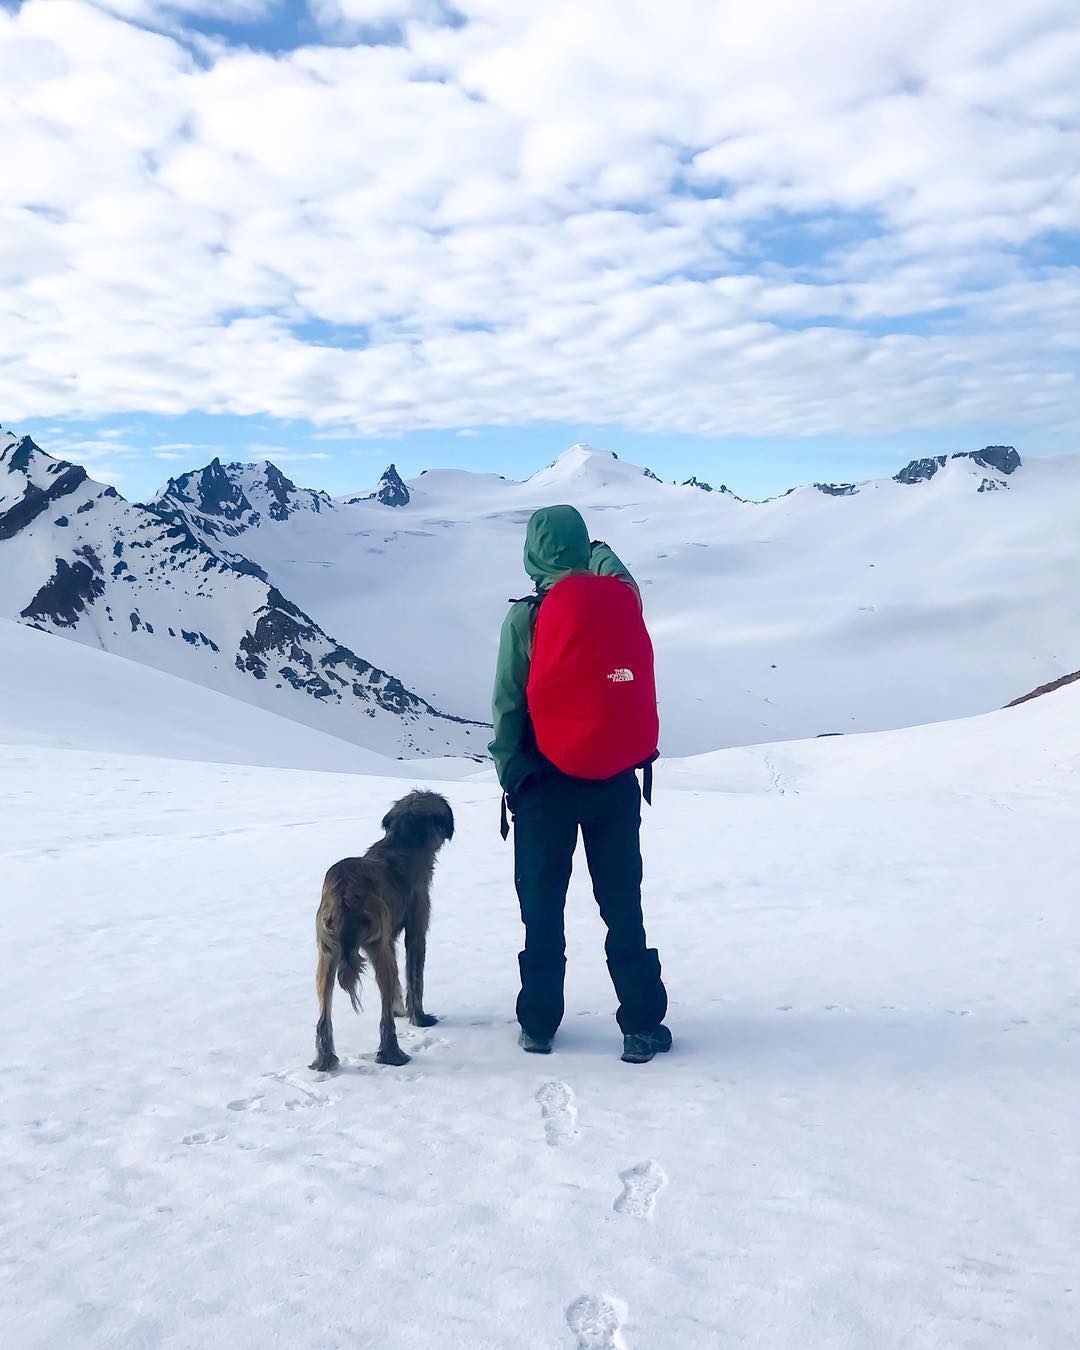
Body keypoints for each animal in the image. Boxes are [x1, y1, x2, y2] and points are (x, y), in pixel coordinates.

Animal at [310, 788, 453, 1063]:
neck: (403, 844)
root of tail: (344, 895)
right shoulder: (415, 931)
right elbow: (415, 978)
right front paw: (420, 1018)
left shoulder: (388, 939)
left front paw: (401, 1009)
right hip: (377, 951)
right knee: (385, 1019)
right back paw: (393, 1054)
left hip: (327, 954)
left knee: (324, 1017)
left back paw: (325, 1060)